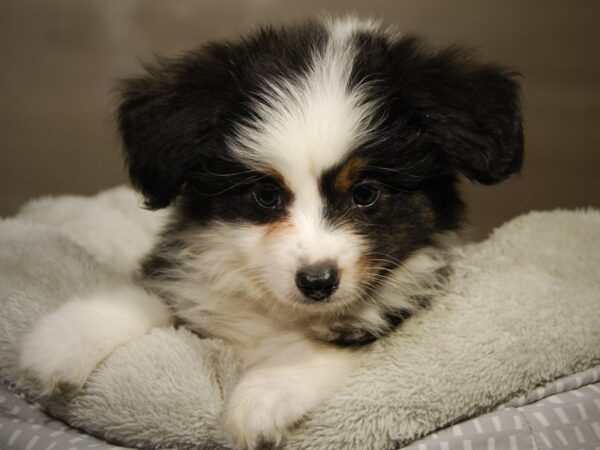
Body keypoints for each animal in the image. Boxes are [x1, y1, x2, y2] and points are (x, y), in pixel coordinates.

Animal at [21, 15, 524, 448]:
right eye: (266, 195)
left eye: (366, 193)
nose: (317, 282)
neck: (278, 312)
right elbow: (152, 291)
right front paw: (65, 339)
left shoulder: (401, 301)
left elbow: (331, 342)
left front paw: (263, 395)